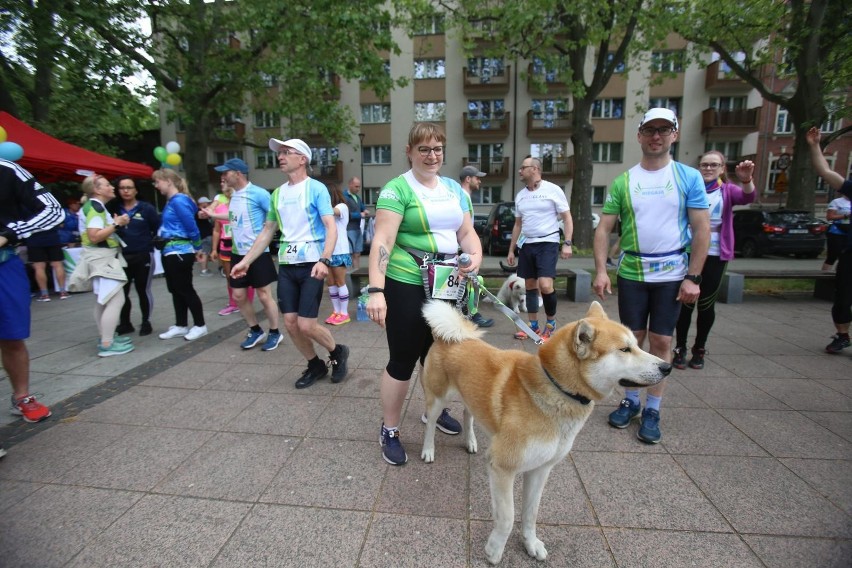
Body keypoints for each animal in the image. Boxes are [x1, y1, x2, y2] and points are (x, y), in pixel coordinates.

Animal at [420, 302, 672, 564]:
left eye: (636, 345)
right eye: (625, 349)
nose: (667, 367)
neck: (558, 387)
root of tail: (448, 337)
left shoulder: (541, 468)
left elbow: (531, 514)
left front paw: (530, 544)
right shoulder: (502, 467)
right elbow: (508, 517)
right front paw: (495, 550)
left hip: (470, 398)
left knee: (468, 416)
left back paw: (470, 442)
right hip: (437, 398)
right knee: (430, 423)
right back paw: (428, 451)